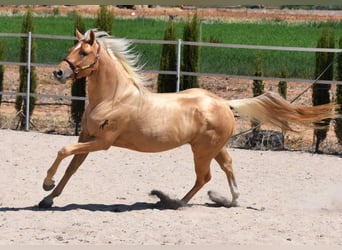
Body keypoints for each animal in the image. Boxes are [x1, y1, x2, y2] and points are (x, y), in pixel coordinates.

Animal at [38, 28, 338, 209]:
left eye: (84, 52)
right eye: (72, 48)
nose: (59, 73)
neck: (113, 98)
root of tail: (224, 102)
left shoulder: (102, 142)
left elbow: (62, 150)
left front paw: (46, 184)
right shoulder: (86, 136)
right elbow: (71, 167)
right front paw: (48, 198)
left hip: (202, 150)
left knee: (204, 177)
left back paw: (176, 202)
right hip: (215, 147)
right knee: (227, 166)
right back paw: (231, 200)